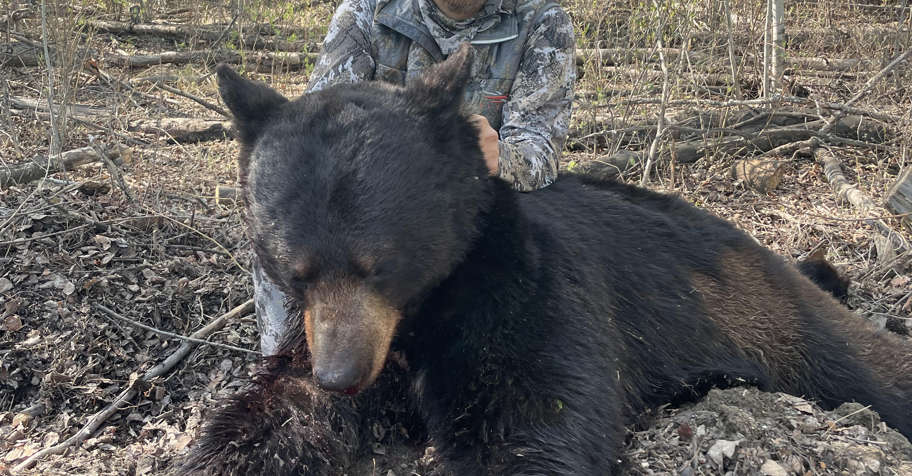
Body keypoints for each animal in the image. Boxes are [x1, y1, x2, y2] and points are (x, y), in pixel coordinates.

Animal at [184, 45, 912, 475]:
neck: (419, 315)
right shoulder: (323, 336)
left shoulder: (526, 289)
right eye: (292, 268)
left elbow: (533, 417)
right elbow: (274, 409)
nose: (342, 377)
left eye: (379, 263)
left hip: (769, 315)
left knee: (870, 369)